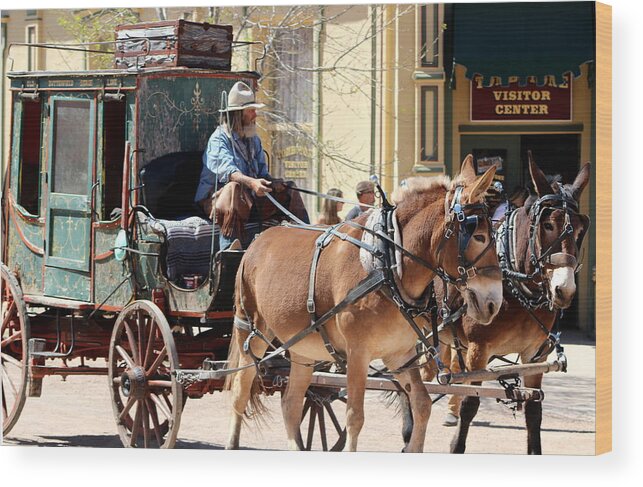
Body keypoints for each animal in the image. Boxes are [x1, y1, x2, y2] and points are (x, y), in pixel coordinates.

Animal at [225, 156, 504, 454]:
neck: (388, 265)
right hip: (251, 332)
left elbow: (422, 404)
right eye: (479, 237)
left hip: (301, 347)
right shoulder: (357, 353)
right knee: (240, 391)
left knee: (290, 404)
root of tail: (258, 240)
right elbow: (355, 416)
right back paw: (232, 442)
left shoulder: (399, 355)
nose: (494, 302)